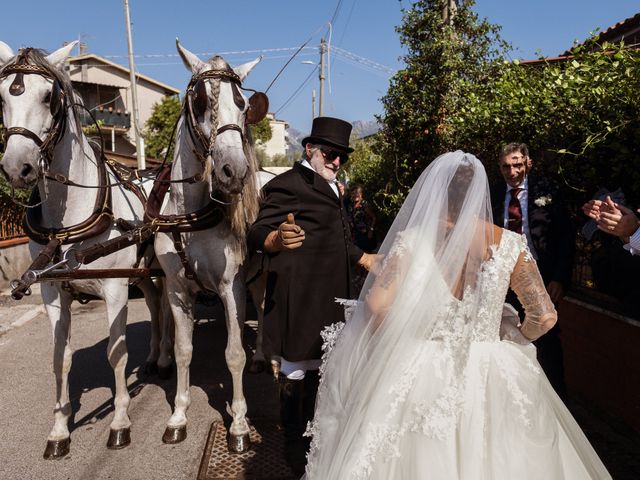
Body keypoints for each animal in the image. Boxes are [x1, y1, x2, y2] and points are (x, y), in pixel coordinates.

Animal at [0, 41, 171, 458]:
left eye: (49, 97)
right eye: (2, 97)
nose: (17, 168)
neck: (67, 223)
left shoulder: (114, 288)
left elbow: (116, 352)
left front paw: (120, 421)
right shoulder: (51, 289)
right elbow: (60, 359)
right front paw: (60, 429)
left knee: (165, 306)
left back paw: (164, 357)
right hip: (143, 271)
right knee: (155, 305)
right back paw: (155, 358)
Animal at [152, 40, 264, 450]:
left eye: (243, 104)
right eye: (199, 100)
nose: (234, 171)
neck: (191, 217)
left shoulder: (233, 287)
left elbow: (234, 354)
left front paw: (240, 424)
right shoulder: (177, 288)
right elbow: (184, 351)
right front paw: (178, 415)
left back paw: (263, 355)